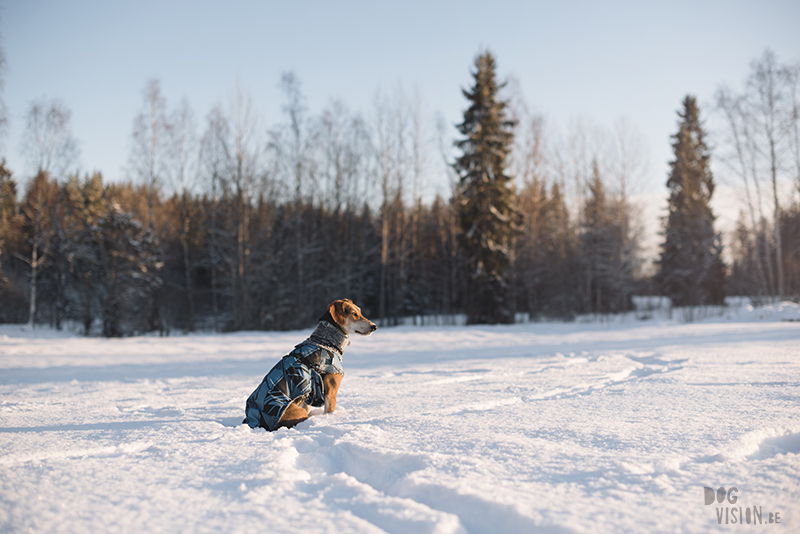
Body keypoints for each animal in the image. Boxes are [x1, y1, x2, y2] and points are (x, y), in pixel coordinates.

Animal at [242, 300, 376, 434]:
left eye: (360, 312)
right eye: (354, 313)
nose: (374, 326)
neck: (325, 342)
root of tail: (256, 419)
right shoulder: (331, 393)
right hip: (297, 411)